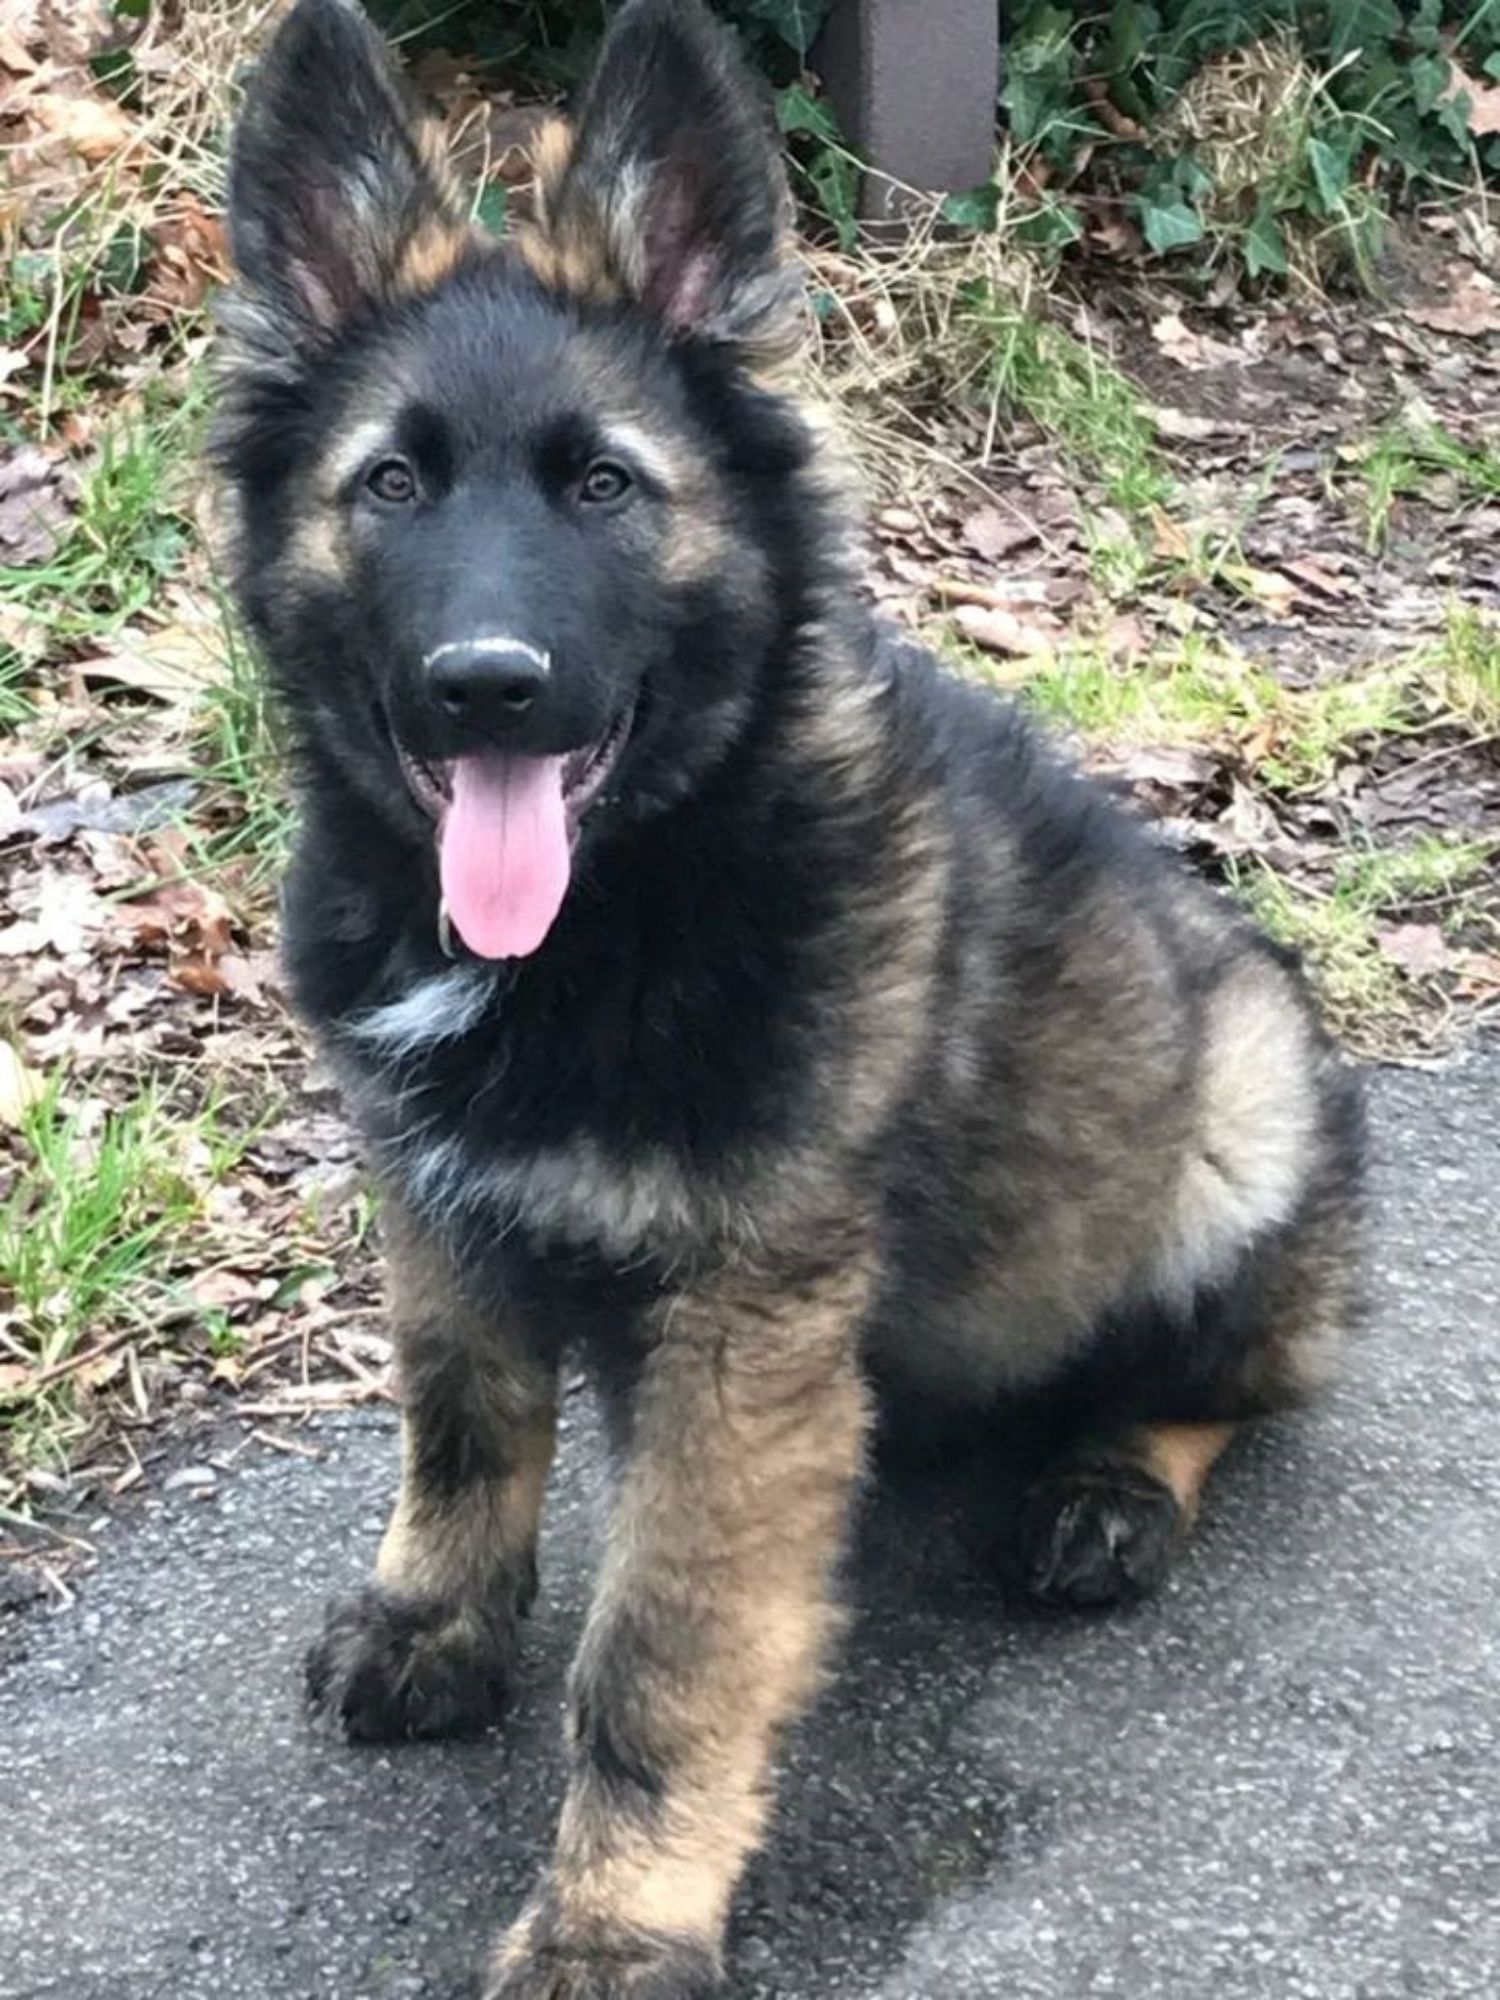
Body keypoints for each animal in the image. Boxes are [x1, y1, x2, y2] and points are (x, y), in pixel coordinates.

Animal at [217, 2, 1364, 1993]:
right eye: (390, 484)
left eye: (605, 485)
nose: (485, 685)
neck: (617, 910)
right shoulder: (440, 1215)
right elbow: (462, 1437)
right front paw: (437, 1624)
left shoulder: (743, 1333)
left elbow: (659, 1662)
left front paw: (614, 1919)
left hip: (1239, 1122)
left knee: (1234, 1380)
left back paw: (1109, 1489)